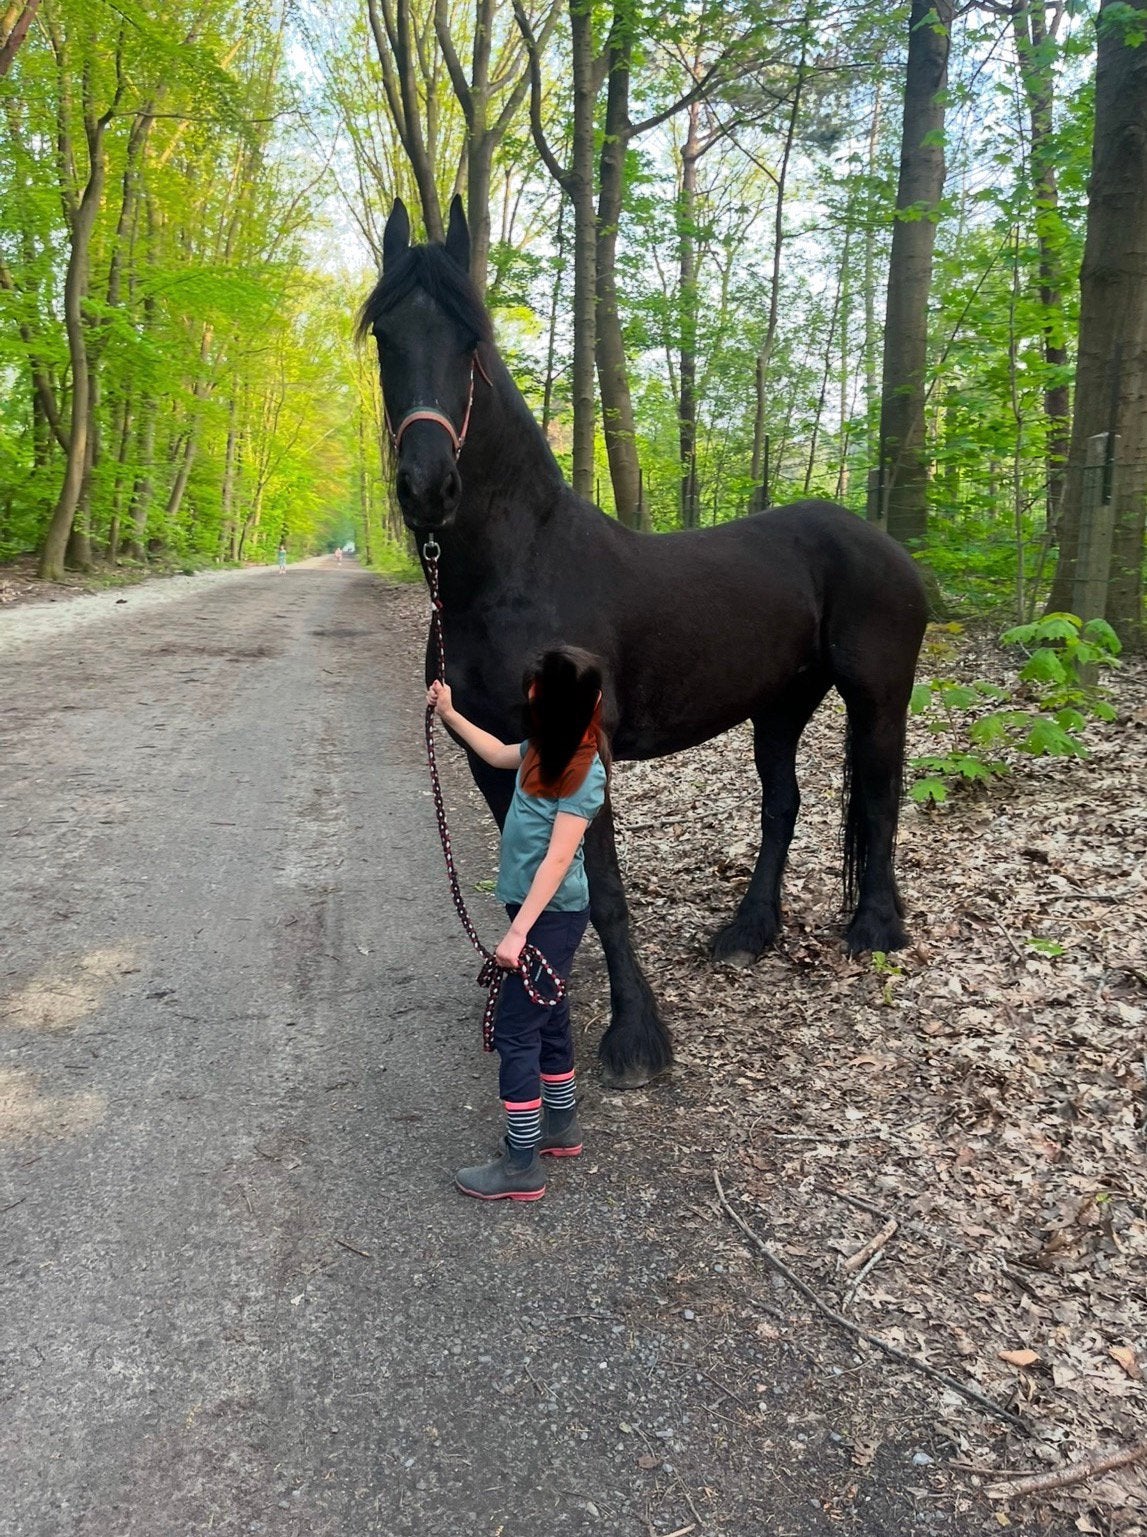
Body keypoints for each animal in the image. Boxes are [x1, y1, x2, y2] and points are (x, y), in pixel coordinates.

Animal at [361, 196, 928, 1089]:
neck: (516, 574)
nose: (427, 488)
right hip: (779, 705)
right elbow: (526, 883)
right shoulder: (488, 754)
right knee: (783, 803)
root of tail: (882, 544)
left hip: (877, 695)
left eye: (469, 339)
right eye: (385, 334)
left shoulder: (577, 747)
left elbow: (601, 889)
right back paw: (747, 932)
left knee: (876, 796)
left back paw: (874, 927)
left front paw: (635, 1036)